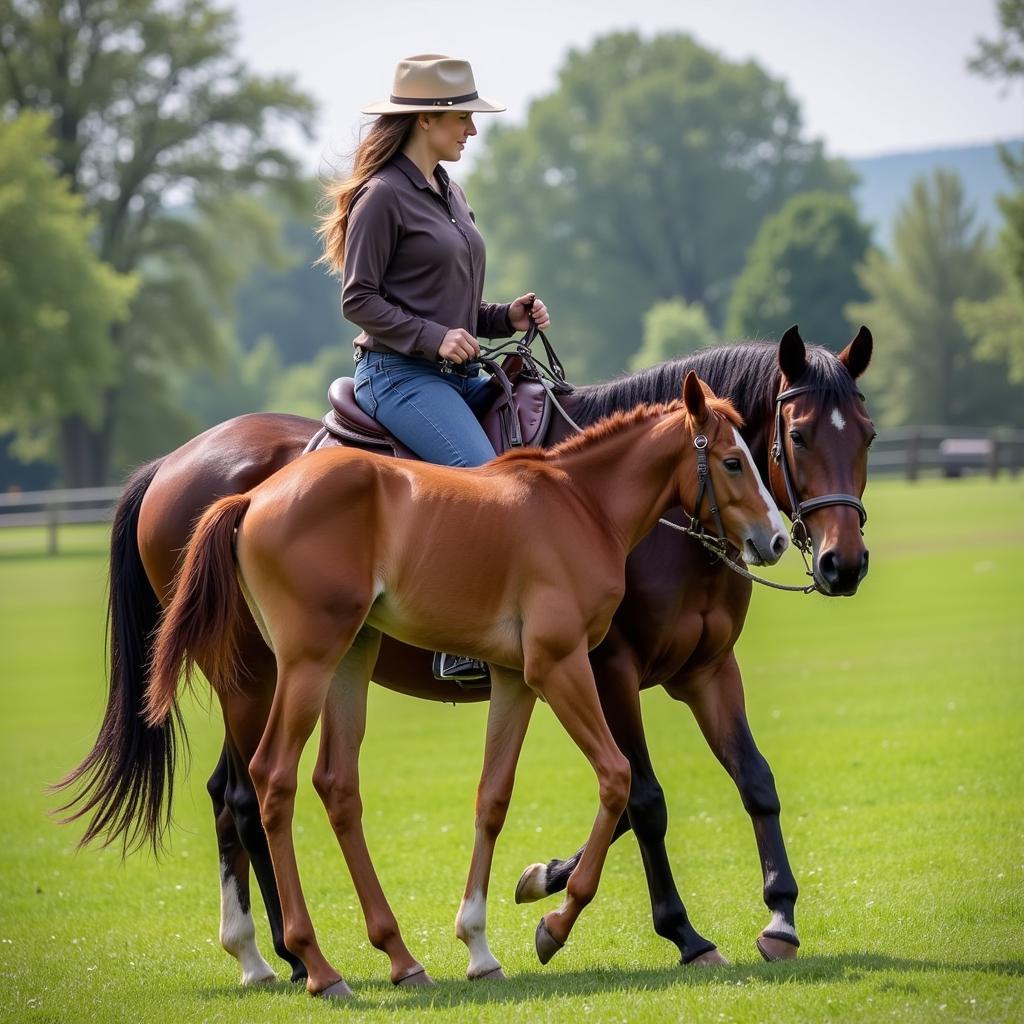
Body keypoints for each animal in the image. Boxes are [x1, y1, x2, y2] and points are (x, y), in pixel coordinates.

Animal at [56, 321, 872, 983]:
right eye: (795, 435)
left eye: (865, 433)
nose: (839, 563)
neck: (584, 500)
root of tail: (210, 481)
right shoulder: (590, 667)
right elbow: (637, 793)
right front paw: (656, 930)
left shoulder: (692, 669)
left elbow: (743, 781)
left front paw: (778, 918)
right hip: (264, 676)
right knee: (254, 790)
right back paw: (299, 958)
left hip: (320, 670)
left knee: (286, 789)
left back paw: (298, 956)